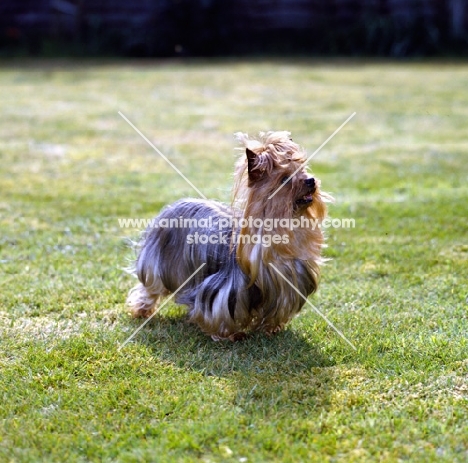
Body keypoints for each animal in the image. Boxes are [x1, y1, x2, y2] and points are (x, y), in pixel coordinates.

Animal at [127, 130, 332, 340]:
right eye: (284, 179)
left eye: (302, 170)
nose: (311, 181)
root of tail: (174, 205)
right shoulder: (222, 293)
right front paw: (228, 335)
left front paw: (271, 329)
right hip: (157, 262)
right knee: (150, 287)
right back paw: (142, 310)